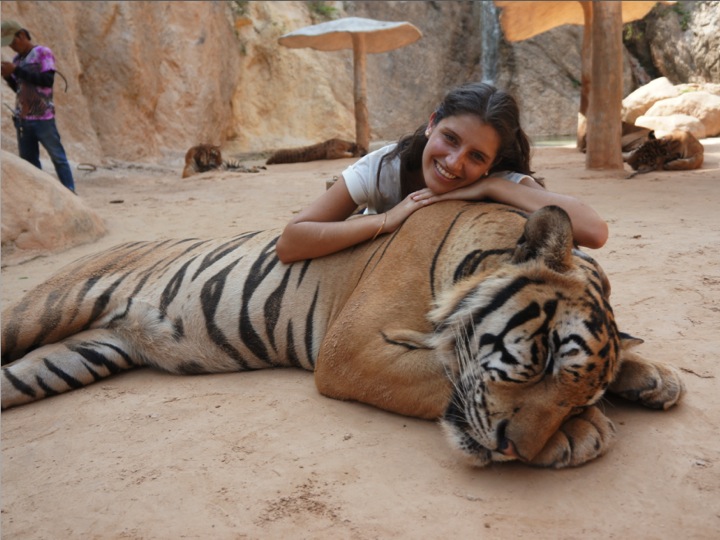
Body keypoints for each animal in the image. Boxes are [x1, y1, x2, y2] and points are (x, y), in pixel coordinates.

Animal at [0, 201, 684, 468]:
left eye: (577, 391)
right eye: (541, 360)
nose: (515, 448)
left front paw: (651, 379)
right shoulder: (351, 349)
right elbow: (443, 375)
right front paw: (584, 435)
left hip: (74, 357)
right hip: (42, 309)